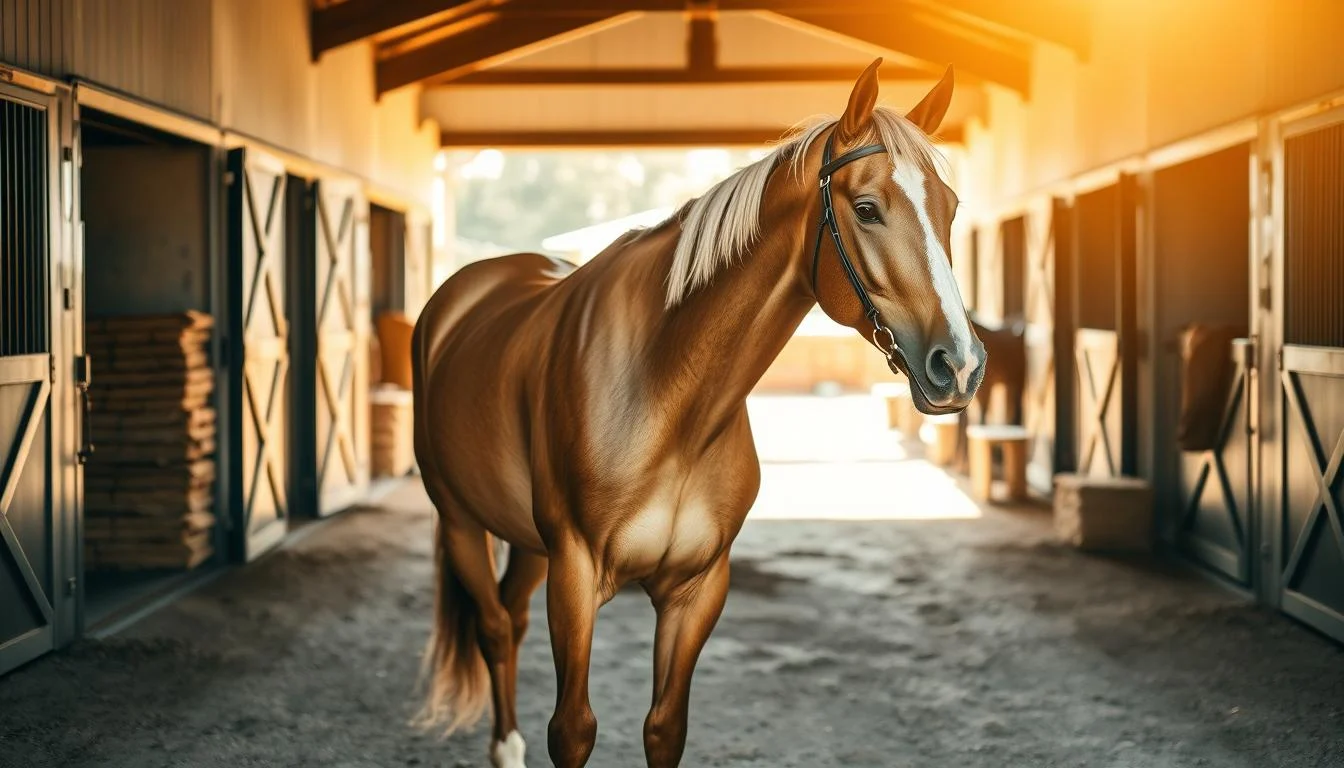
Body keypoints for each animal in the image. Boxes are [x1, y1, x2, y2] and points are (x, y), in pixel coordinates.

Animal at [411, 58, 986, 768]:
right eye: (867, 208)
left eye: (950, 208)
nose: (959, 366)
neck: (668, 400)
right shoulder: (574, 575)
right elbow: (572, 729)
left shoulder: (697, 588)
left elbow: (666, 727)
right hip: (461, 522)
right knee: (492, 627)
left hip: (525, 540)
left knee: (509, 620)